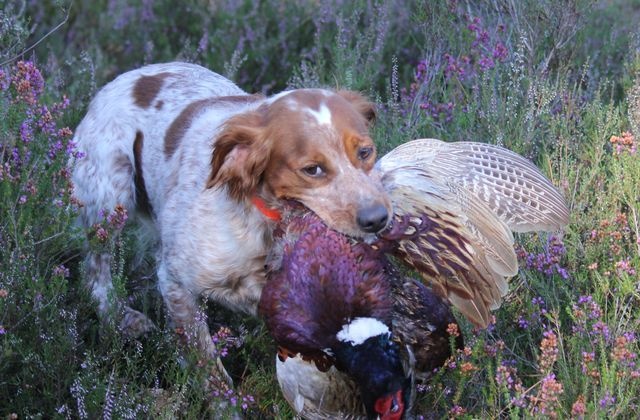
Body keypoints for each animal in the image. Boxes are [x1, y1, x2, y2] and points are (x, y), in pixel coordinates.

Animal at [70, 60, 390, 370]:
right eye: (312, 169)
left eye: (365, 152)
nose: (377, 218)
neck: (264, 223)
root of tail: (125, 78)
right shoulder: (176, 282)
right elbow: (209, 368)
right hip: (110, 198)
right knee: (95, 271)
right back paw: (122, 318)